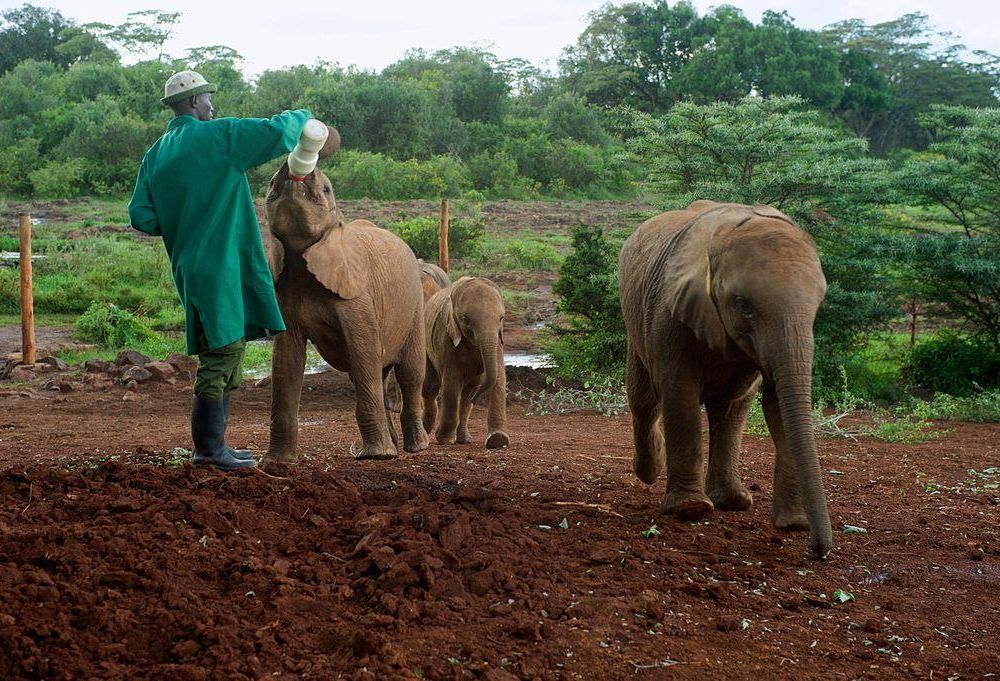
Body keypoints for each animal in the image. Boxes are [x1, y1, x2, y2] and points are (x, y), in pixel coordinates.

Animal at [262, 139, 430, 462]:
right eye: (272, 183)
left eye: (327, 189)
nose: (294, 169)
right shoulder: (284, 295)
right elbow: (286, 359)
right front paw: (276, 462)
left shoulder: (357, 297)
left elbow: (363, 351)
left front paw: (377, 456)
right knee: (377, 373)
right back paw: (392, 445)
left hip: (415, 306)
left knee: (410, 373)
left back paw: (416, 447)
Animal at [424, 274, 512, 448]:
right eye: (465, 319)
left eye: (502, 318)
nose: (477, 399)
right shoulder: (447, 337)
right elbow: (451, 383)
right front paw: (444, 439)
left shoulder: (498, 340)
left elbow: (499, 378)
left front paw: (498, 440)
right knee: (429, 387)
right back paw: (427, 429)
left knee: (468, 394)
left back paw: (464, 439)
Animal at [620, 198, 832, 556]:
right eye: (743, 305)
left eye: (818, 306)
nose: (819, 550)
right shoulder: (668, 312)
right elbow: (679, 392)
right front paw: (690, 510)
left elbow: (778, 404)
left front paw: (792, 523)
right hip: (635, 320)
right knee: (644, 401)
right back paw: (651, 471)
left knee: (731, 409)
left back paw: (733, 501)